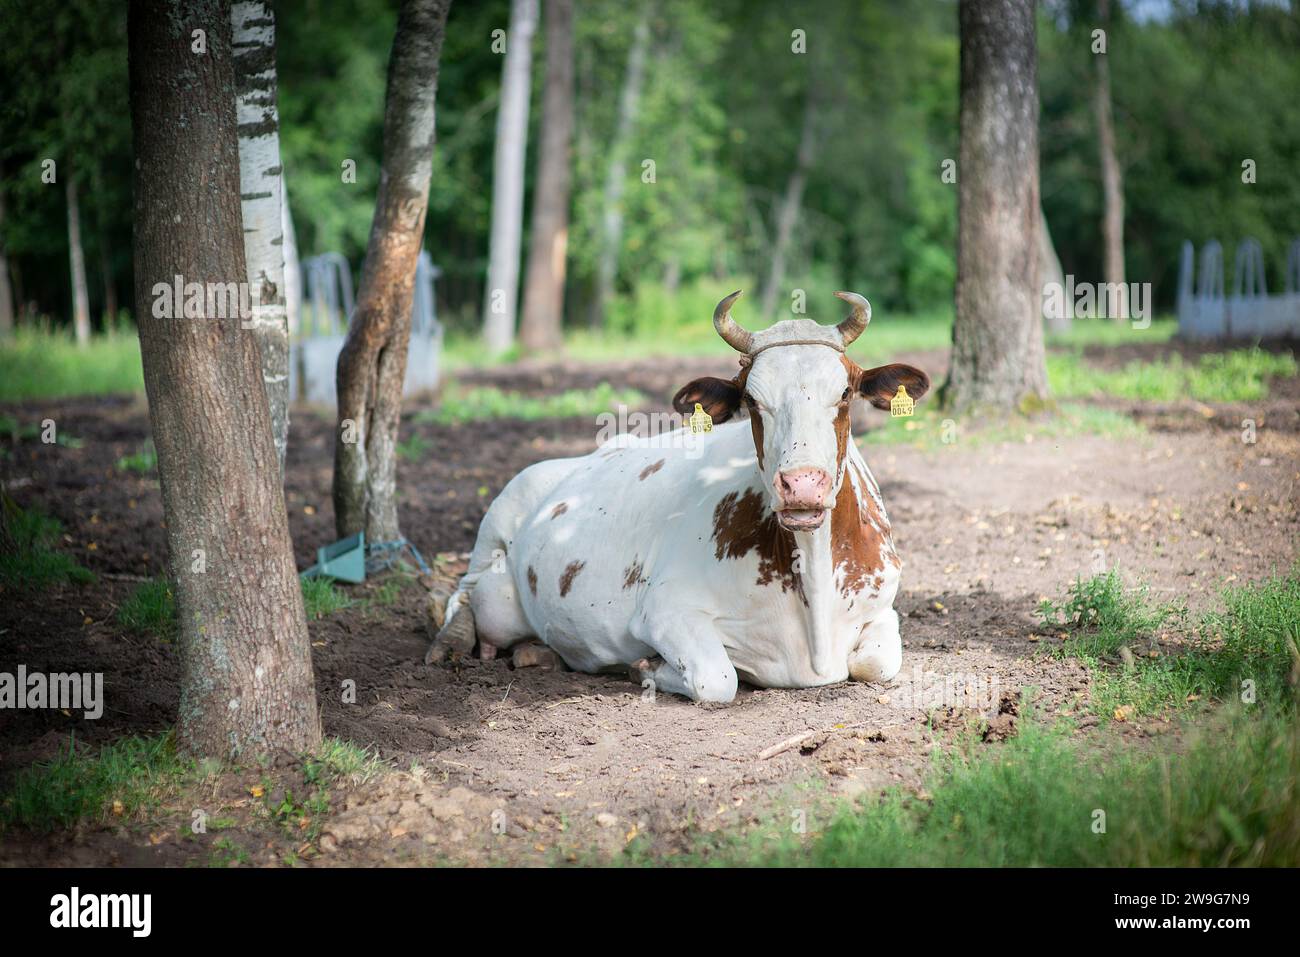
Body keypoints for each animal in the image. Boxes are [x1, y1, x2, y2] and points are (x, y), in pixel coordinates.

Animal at [428, 291, 935, 702]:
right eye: (752, 401)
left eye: (846, 392)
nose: (803, 484)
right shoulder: (665, 611)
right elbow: (718, 678)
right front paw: (644, 668)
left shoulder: (884, 606)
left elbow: (877, 663)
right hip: (499, 518)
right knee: (465, 593)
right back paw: (448, 644)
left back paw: (539, 654)